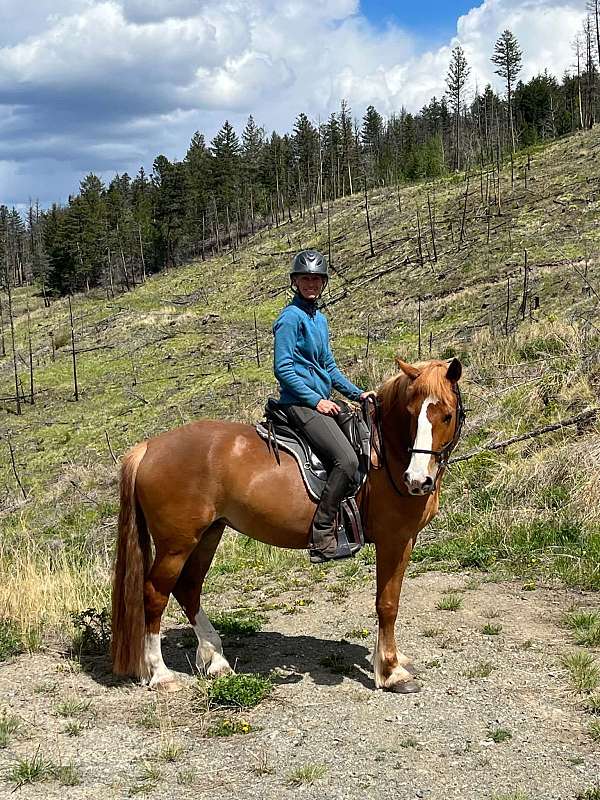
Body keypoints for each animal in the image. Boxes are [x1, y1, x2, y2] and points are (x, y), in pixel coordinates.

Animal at [111, 356, 464, 693]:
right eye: (411, 414)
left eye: (446, 416)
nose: (417, 480)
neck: (384, 452)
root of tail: (148, 448)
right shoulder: (394, 539)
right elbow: (387, 603)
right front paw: (392, 672)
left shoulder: (406, 540)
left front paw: (394, 660)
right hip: (176, 544)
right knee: (155, 595)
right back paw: (161, 674)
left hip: (208, 534)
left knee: (188, 589)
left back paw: (216, 661)